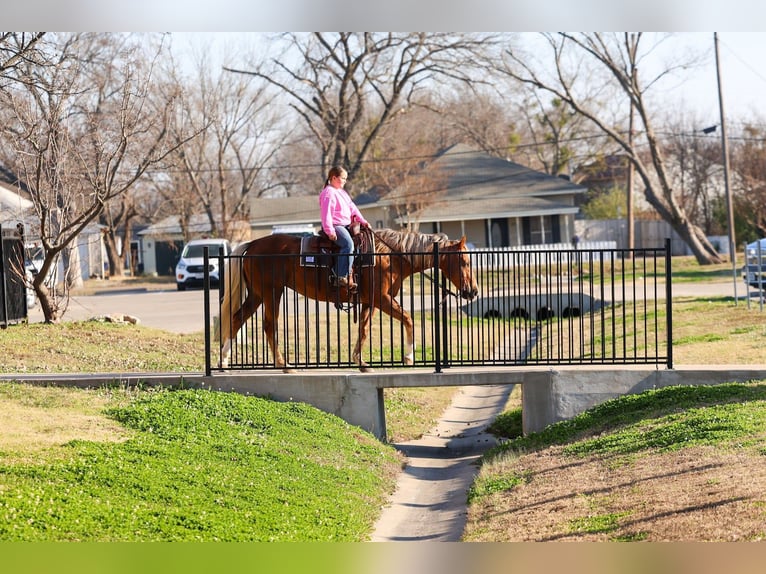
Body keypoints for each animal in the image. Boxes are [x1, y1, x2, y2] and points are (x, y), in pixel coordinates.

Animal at [217, 228, 479, 372]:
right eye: (465, 261)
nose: (473, 292)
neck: (390, 255)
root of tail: (252, 244)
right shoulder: (383, 299)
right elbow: (408, 318)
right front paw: (408, 357)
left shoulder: (370, 302)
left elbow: (363, 330)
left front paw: (360, 362)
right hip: (272, 293)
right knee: (268, 326)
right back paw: (283, 364)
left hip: (257, 294)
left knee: (236, 319)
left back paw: (224, 361)